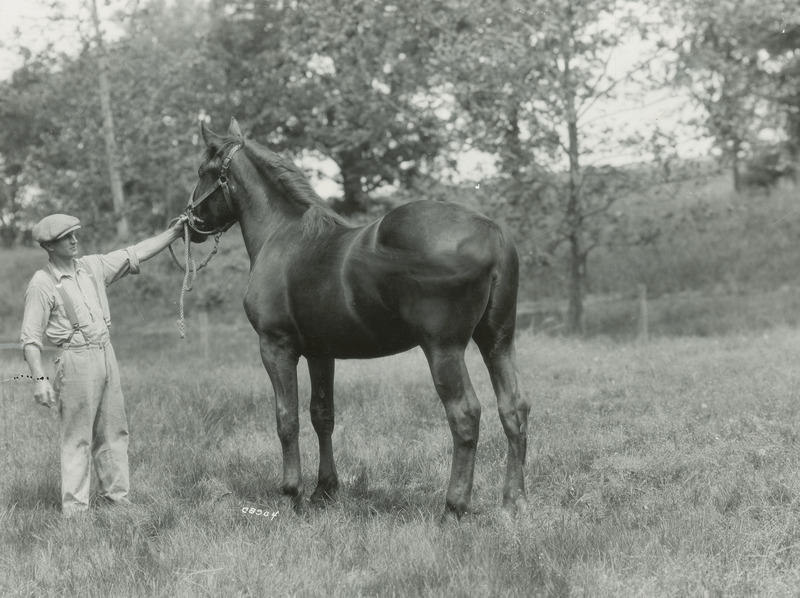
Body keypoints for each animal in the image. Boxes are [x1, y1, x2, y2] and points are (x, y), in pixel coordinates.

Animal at [188, 117, 532, 520]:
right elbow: (322, 415)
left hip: (444, 349)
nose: (190, 223)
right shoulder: (321, 352)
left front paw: (292, 494)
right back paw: (513, 501)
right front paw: (324, 490)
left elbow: (286, 419)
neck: (281, 236)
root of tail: (493, 234)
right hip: (497, 340)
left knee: (465, 414)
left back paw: (453, 507)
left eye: (203, 171)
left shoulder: (275, 347)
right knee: (514, 407)